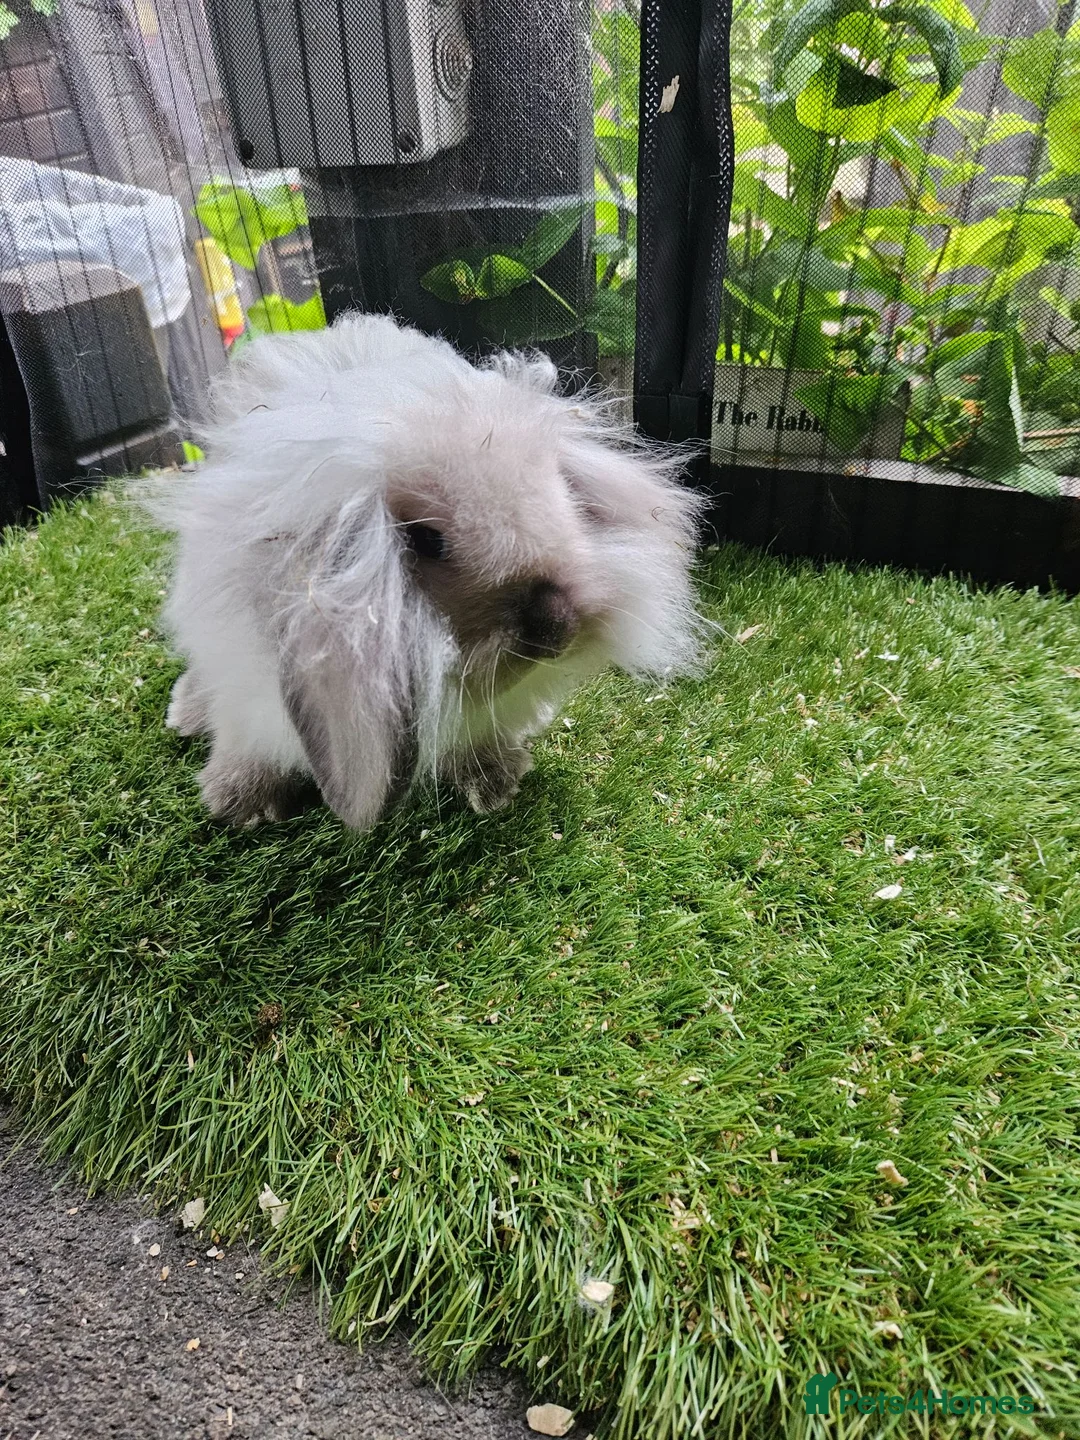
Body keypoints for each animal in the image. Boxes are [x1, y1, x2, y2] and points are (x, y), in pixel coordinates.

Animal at [147, 311, 705, 831]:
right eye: (425, 540)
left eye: (565, 494)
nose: (556, 626)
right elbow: (250, 741)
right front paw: (238, 803)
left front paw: (497, 782)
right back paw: (187, 718)